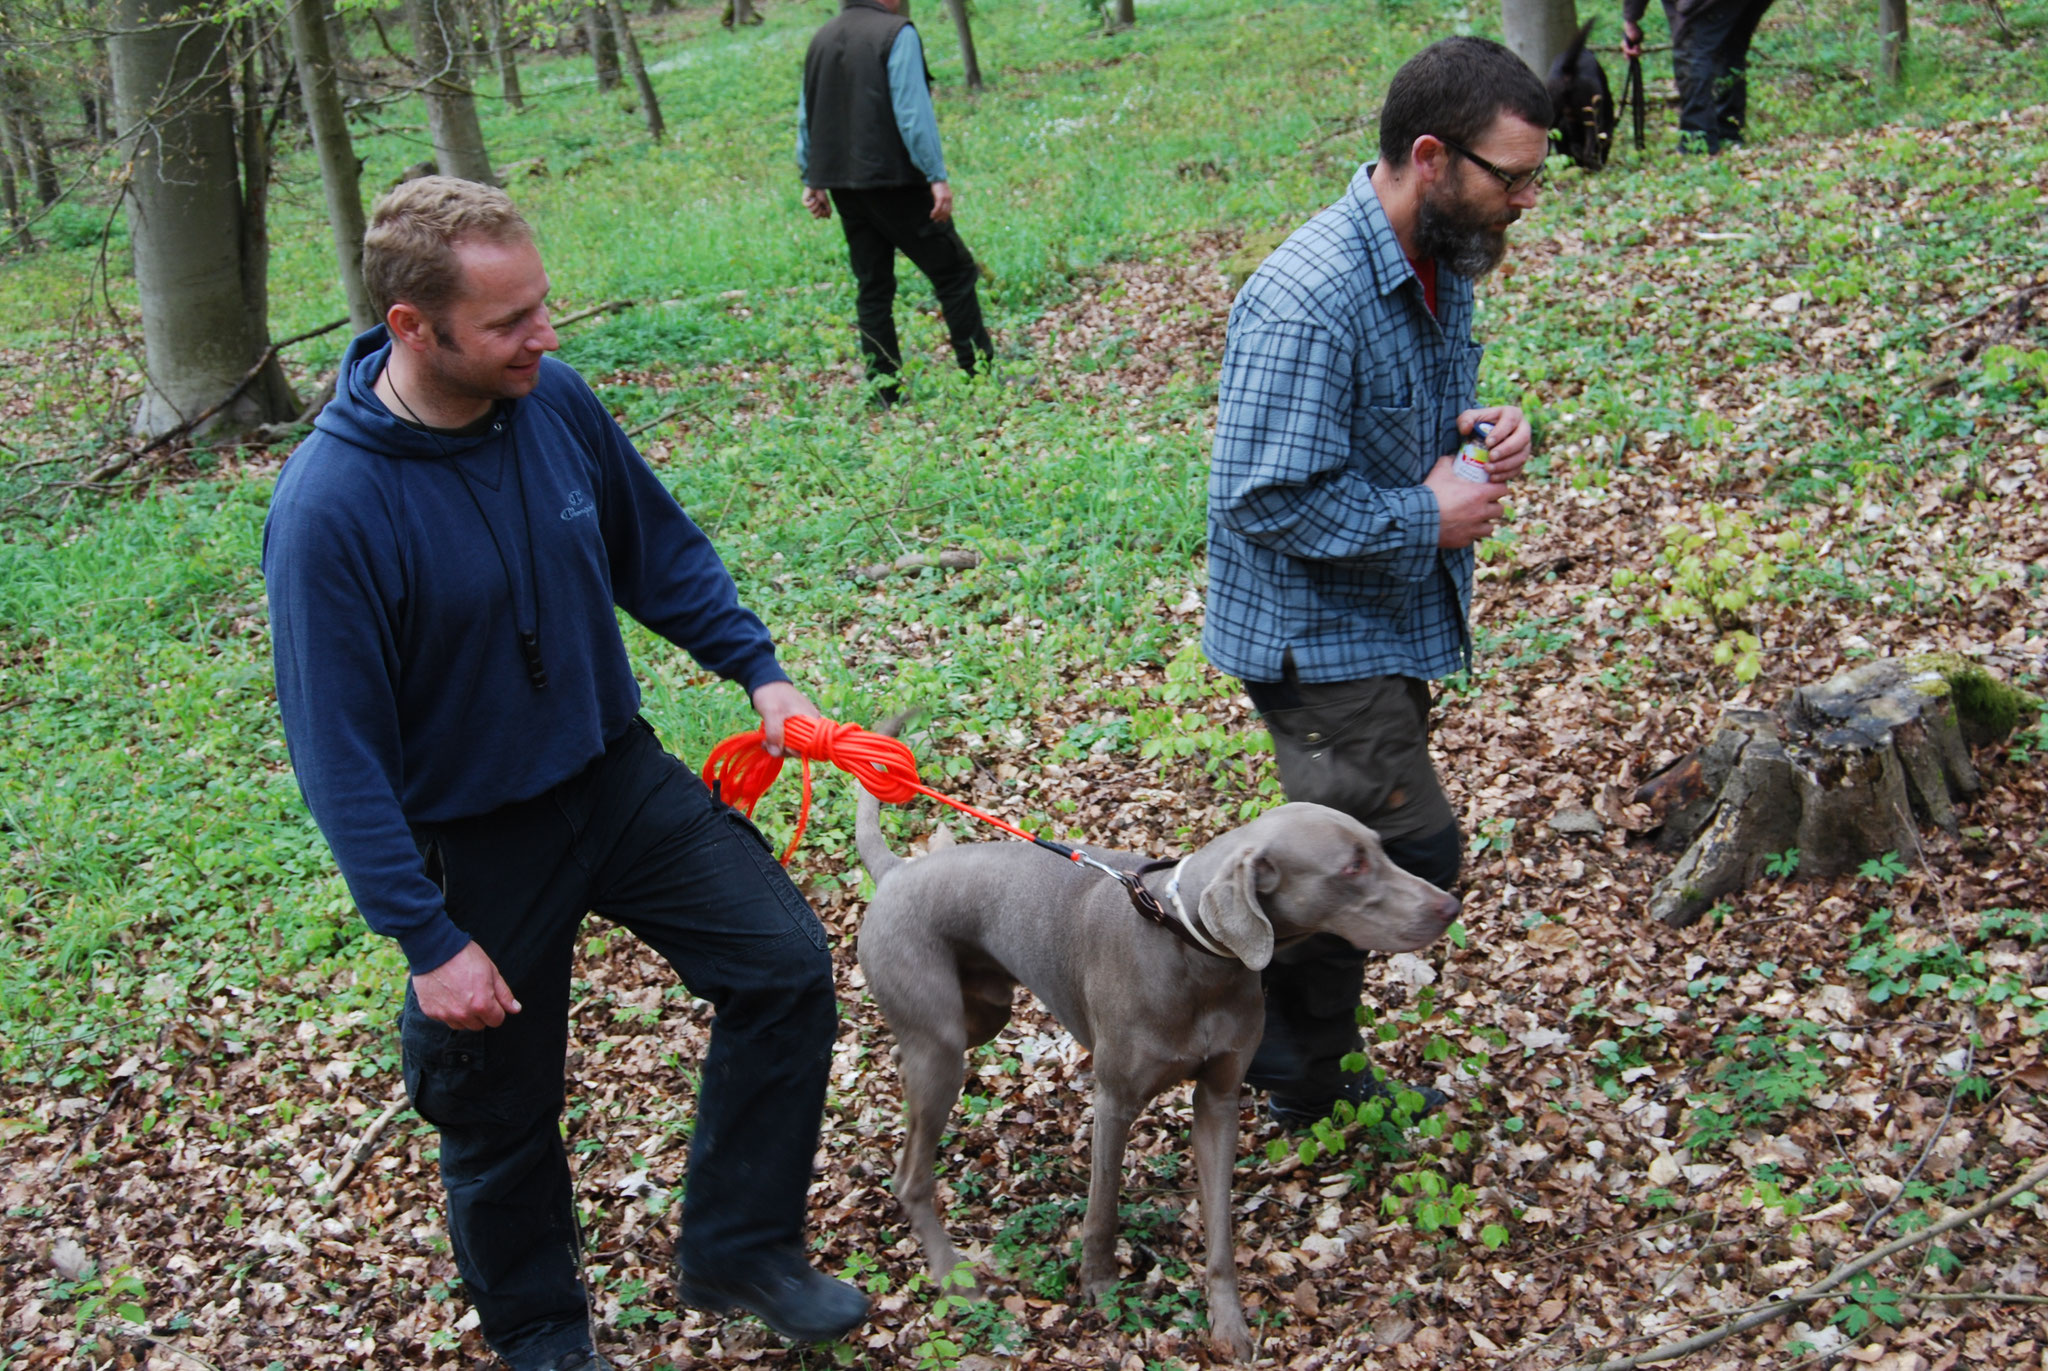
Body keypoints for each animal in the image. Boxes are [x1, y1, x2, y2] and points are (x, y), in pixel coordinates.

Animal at [856, 786, 1466, 1352]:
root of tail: (896, 872)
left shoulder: (1219, 1099)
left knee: (906, 1066)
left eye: (1381, 848)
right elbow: (1103, 1207)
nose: (1449, 906)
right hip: (942, 1040)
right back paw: (954, 1277)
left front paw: (1228, 1322)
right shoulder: (1115, 1100)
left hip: (980, 1014)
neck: (1192, 950)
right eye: (1352, 867)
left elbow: (1219, 1225)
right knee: (911, 1175)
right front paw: (1100, 1284)